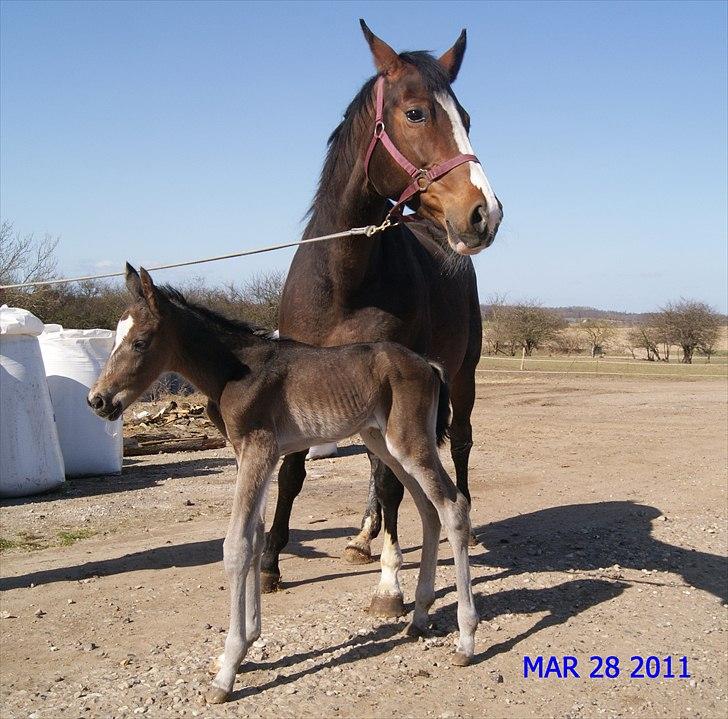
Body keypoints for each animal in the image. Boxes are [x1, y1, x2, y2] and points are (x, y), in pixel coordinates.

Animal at [89, 264, 478, 704]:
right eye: (114, 338)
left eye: (139, 342)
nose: (97, 400)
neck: (236, 369)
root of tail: (429, 365)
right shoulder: (247, 453)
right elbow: (255, 536)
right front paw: (247, 644)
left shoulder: (260, 448)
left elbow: (236, 547)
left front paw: (227, 669)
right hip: (384, 442)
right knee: (430, 511)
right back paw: (420, 616)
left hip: (408, 442)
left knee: (453, 507)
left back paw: (465, 640)